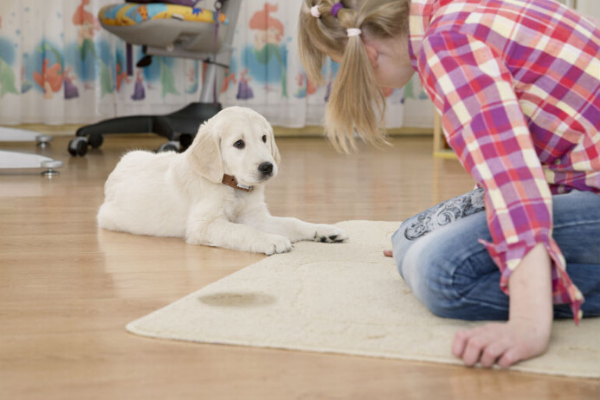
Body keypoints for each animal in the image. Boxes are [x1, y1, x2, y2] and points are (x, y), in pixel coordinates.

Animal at [98, 106, 346, 255]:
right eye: (239, 144)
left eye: (264, 138)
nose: (267, 167)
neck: (234, 187)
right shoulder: (203, 225)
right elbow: (242, 231)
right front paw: (271, 240)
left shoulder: (256, 217)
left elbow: (292, 222)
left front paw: (323, 230)